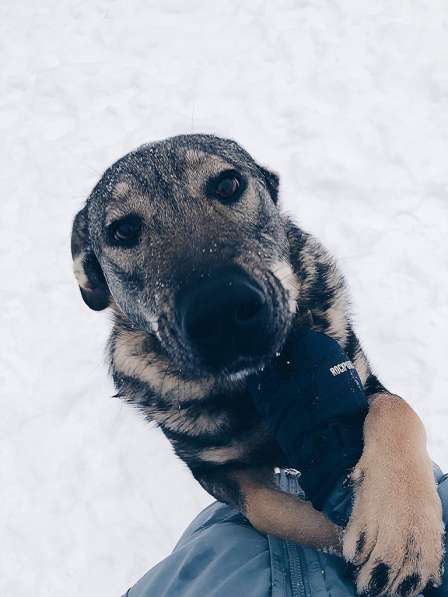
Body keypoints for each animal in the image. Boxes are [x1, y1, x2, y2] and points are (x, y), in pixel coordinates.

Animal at [72, 135, 442, 596]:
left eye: (228, 184)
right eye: (123, 231)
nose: (221, 311)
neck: (252, 384)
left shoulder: (364, 381)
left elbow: (398, 412)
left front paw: (403, 531)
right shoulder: (213, 469)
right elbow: (268, 510)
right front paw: (340, 534)